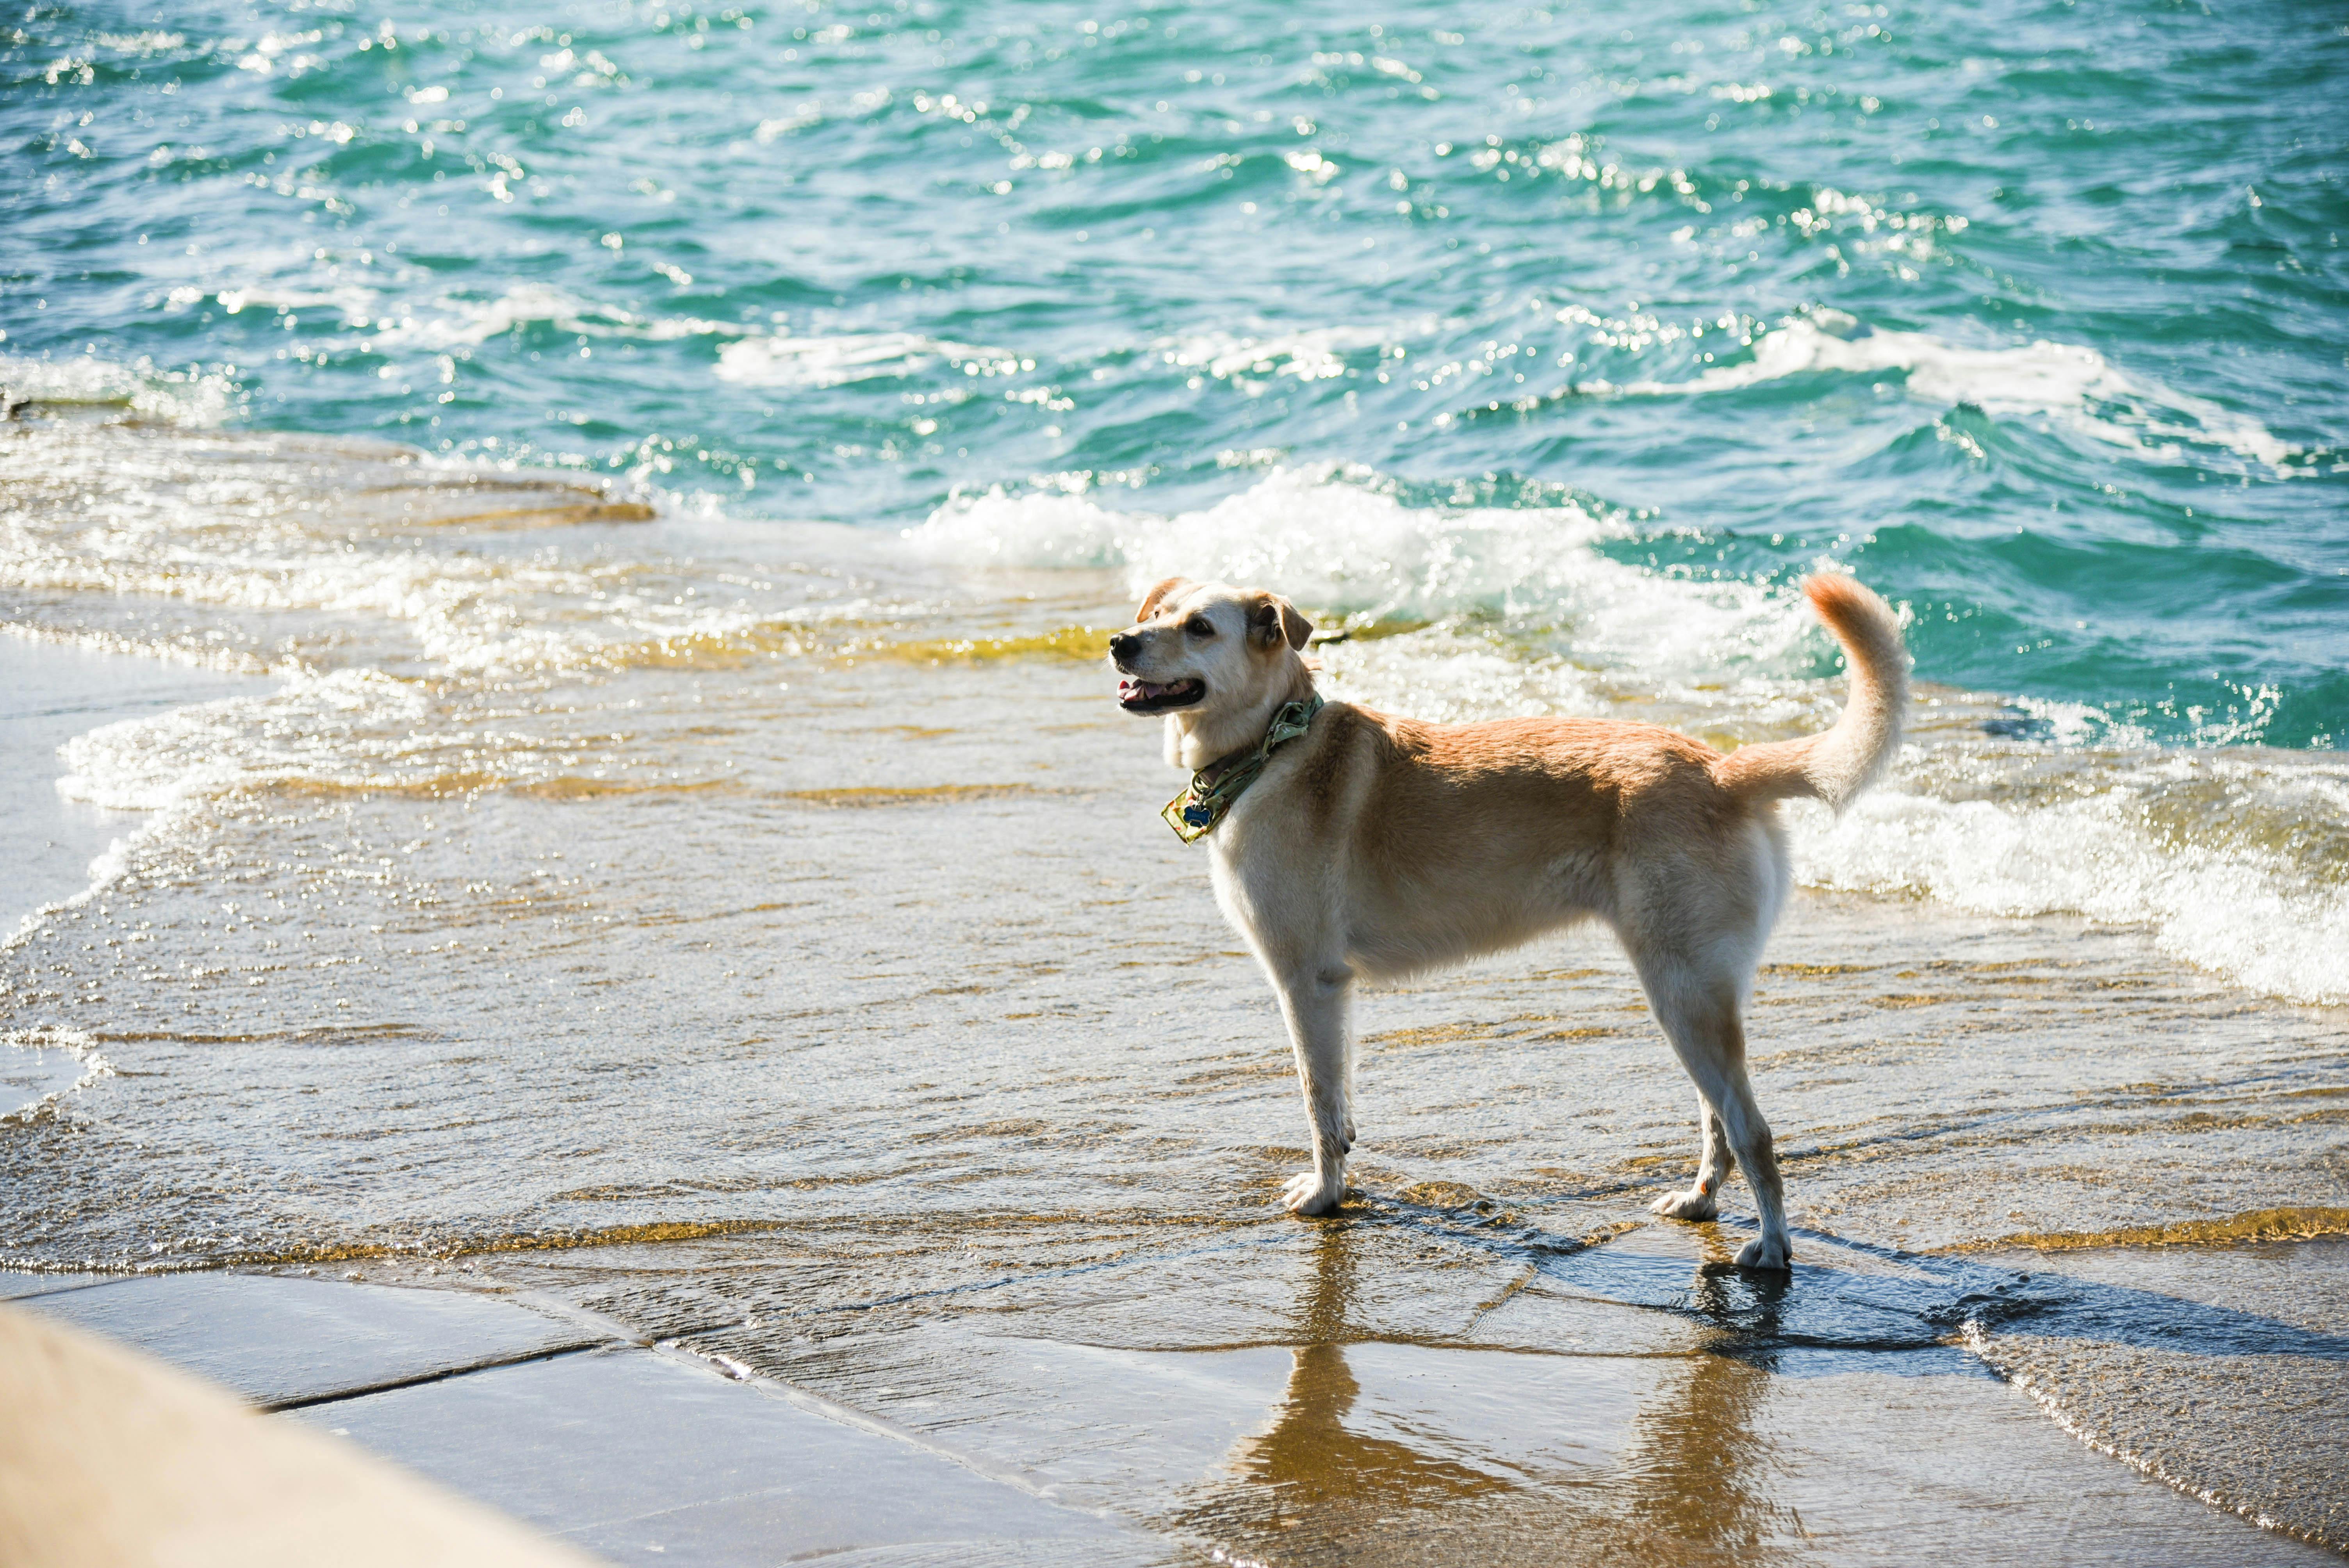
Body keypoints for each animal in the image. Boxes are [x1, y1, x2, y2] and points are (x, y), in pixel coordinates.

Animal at [1104, 570, 1907, 1267]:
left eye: (1200, 627)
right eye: (1155, 614)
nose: (1119, 642)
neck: (1275, 744)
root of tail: (1721, 768)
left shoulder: (1308, 984)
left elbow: (1318, 1104)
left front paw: (1328, 1195)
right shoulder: (1331, 995)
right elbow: (1341, 1105)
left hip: (1683, 993)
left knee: (1755, 1132)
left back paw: (1772, 1248)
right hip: (1695, 999)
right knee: (1720, 1122)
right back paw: (1701, 1201)